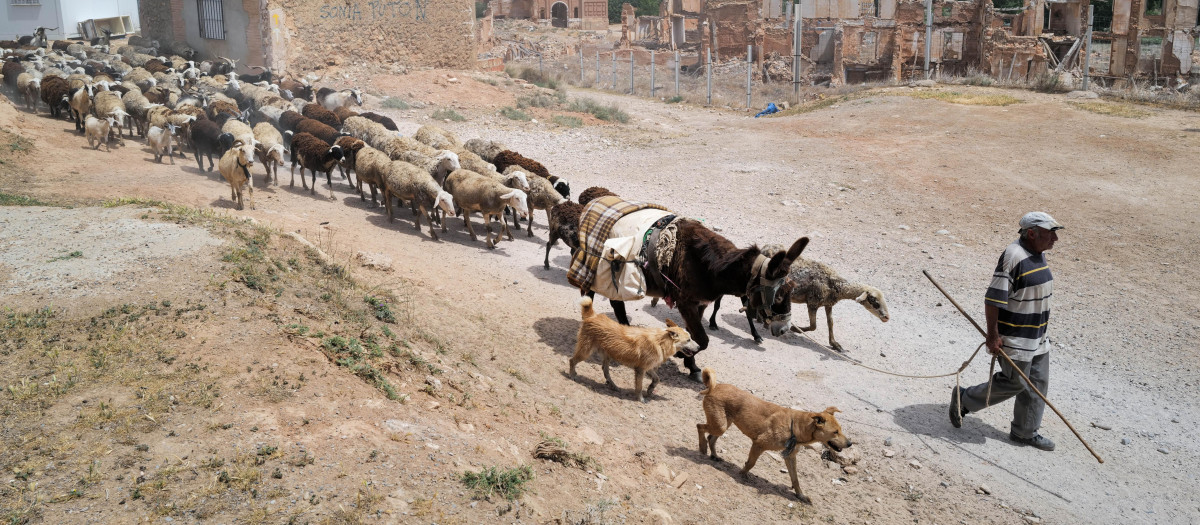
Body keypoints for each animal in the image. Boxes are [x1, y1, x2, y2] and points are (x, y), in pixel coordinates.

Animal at [758, 246, 890, 352]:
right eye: (873, 300)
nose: (886, 317)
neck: (835, 285)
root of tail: (764, 247)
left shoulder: (828, 304)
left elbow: (830, 323)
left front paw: (835, 344)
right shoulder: (812, 303)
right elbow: (813, 326)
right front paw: (796, 329)